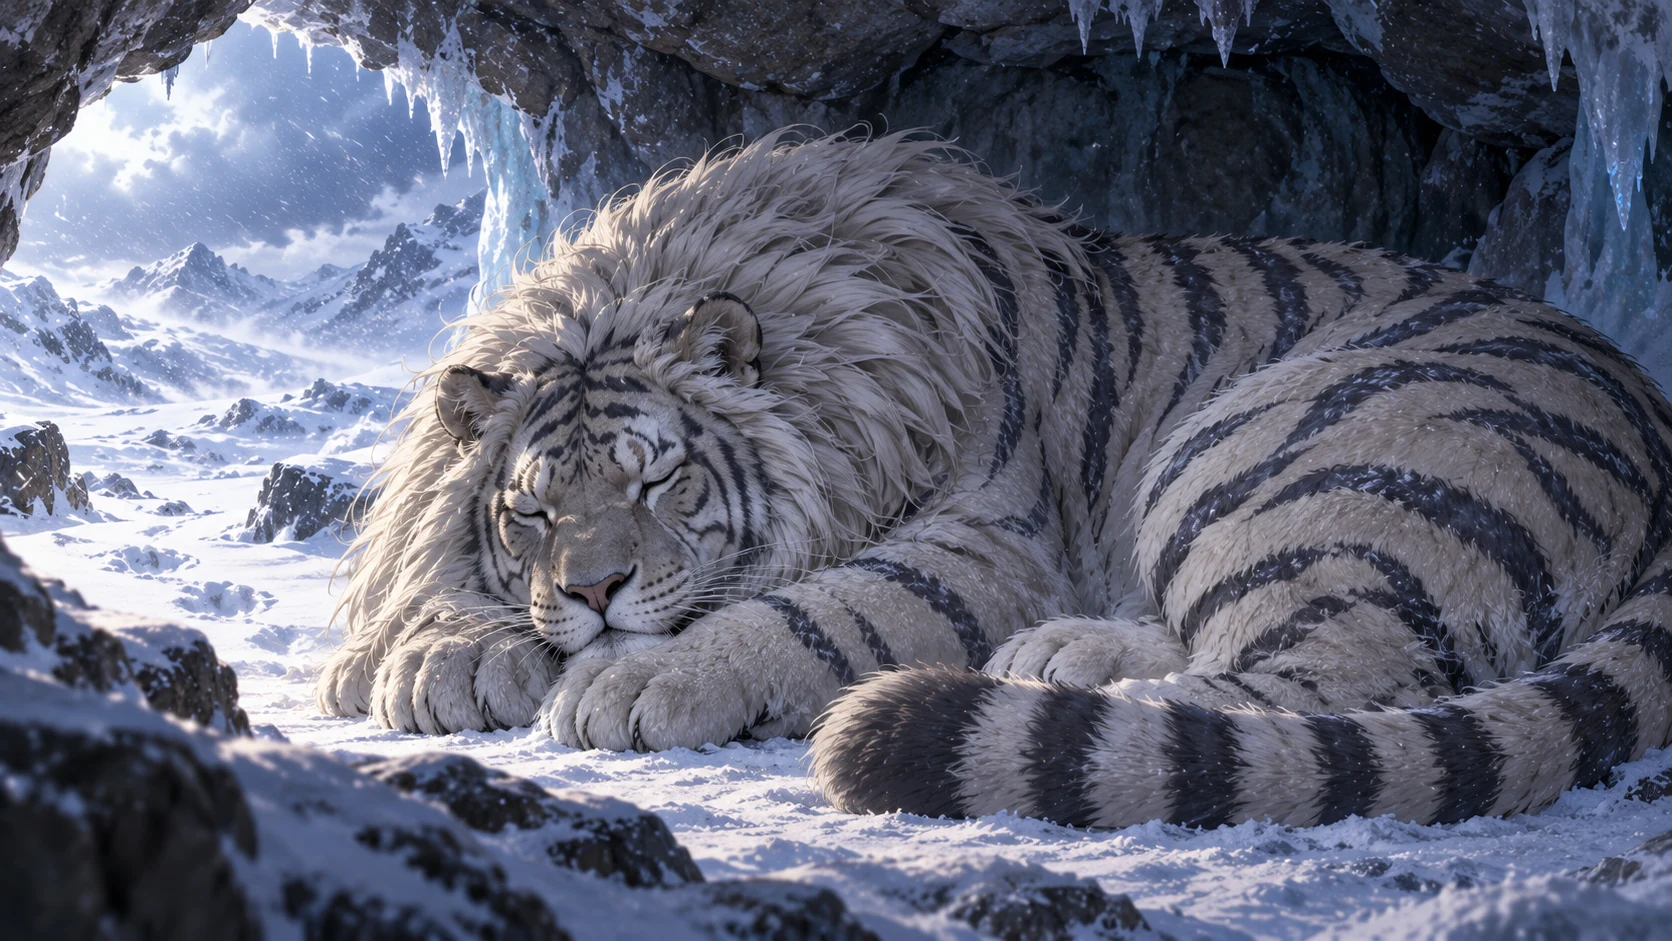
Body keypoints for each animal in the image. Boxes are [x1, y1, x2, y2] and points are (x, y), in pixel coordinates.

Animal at [316, 130, 1672, 830]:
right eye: (532, 511)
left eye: (660, 484)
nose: (592, 594)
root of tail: (1651, 412)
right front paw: (440, 653)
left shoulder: (984, 530)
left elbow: (809, 610)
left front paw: (633, 680)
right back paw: (1064, 652)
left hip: (1272, 451)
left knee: (1311, 689)